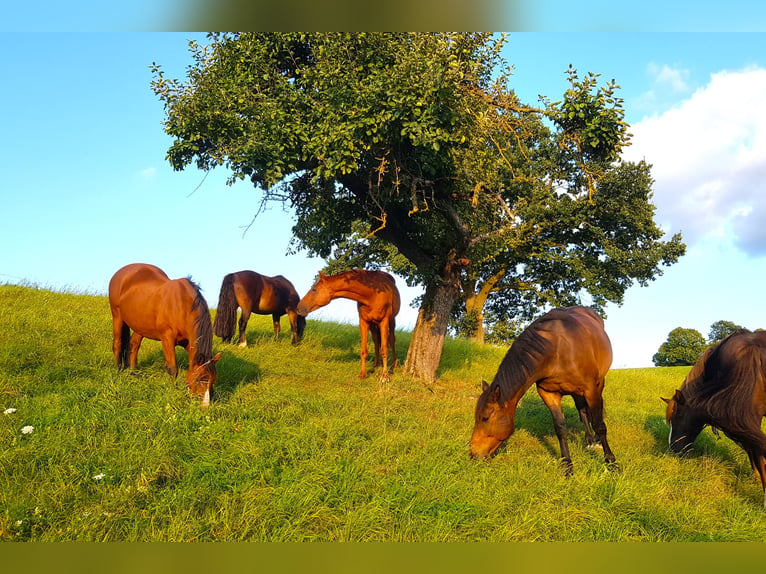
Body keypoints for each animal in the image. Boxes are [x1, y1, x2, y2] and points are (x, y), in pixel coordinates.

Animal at [106, 264, 219, 410]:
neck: (182, 305)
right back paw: (117, 370)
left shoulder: (189, 344)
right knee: (118, 344)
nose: (205, 406)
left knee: (133, 345)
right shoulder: (167, 340)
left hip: (139, 326)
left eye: (213, 380)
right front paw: (173, 391)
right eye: (199, 379)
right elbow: (172, 369)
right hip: (117, 316)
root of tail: (120, 273)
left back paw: (133, 373)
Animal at [468, 308, 616, 474]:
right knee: (582, 410)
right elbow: (560, 429)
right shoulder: (548, 393)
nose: (473, 454)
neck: (557, 350)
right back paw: (589, 439)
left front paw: (611, 462)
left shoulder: (590, 389)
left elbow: (599, 425)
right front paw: (567, 465)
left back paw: (595, 440)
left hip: (598, 384)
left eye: (485, 418)